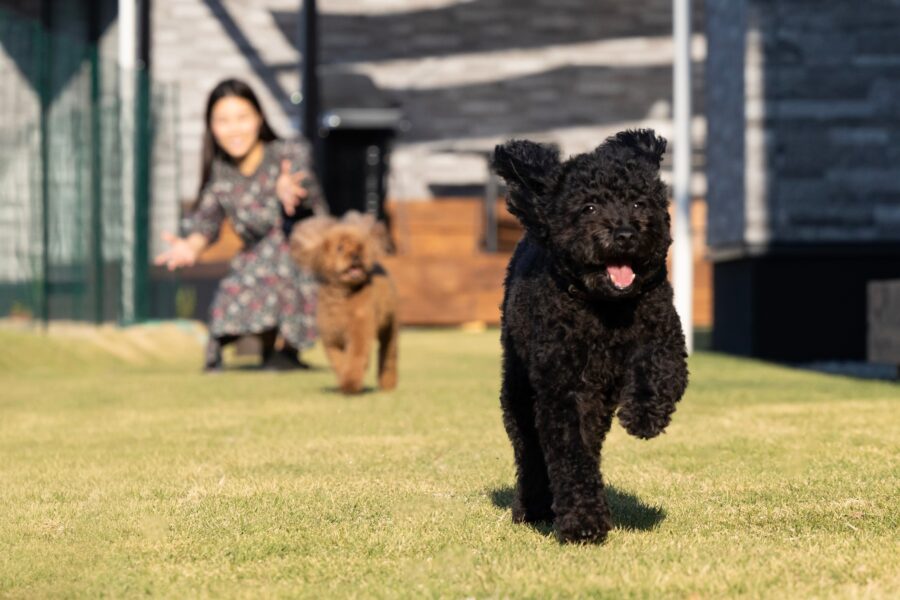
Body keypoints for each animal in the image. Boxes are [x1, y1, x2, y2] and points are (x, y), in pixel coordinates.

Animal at [292, 211, 398, 394]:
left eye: (360, 247)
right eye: (340, 247)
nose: (356, 256)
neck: (341, 296)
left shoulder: (359, 330)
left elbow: (355, 357)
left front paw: (350, 385)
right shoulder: (331, 338)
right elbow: (339, 362)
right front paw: (344, 380)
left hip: (389, 326)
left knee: (389, 354)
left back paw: (388, 384)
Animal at [492, 129, 688, 540]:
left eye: (637, 201)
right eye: (590, 208)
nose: (625, 233)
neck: (606, 309)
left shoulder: (663, 329)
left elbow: (662, 369)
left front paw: (644, 416)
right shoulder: (563, 387)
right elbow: (570, 454)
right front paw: (582, 522)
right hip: (518, 389)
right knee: (529, 450)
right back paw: (532, 508)